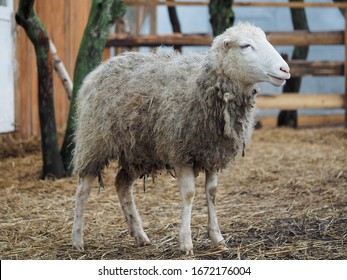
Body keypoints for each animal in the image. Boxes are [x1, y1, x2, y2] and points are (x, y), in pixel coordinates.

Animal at [72, 22, 292, 254]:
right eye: (245, 45)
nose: (285, 70)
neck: (202, 87)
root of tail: (102, 66)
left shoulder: (212, 153)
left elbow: (212, 192)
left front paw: (217, 238)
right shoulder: (181, 153)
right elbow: (189, 194)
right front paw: (186, 242)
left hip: (136, 151)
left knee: (122, 184)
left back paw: (140, 235)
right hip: (94, 141)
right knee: (83, 190)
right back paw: (77, 239)